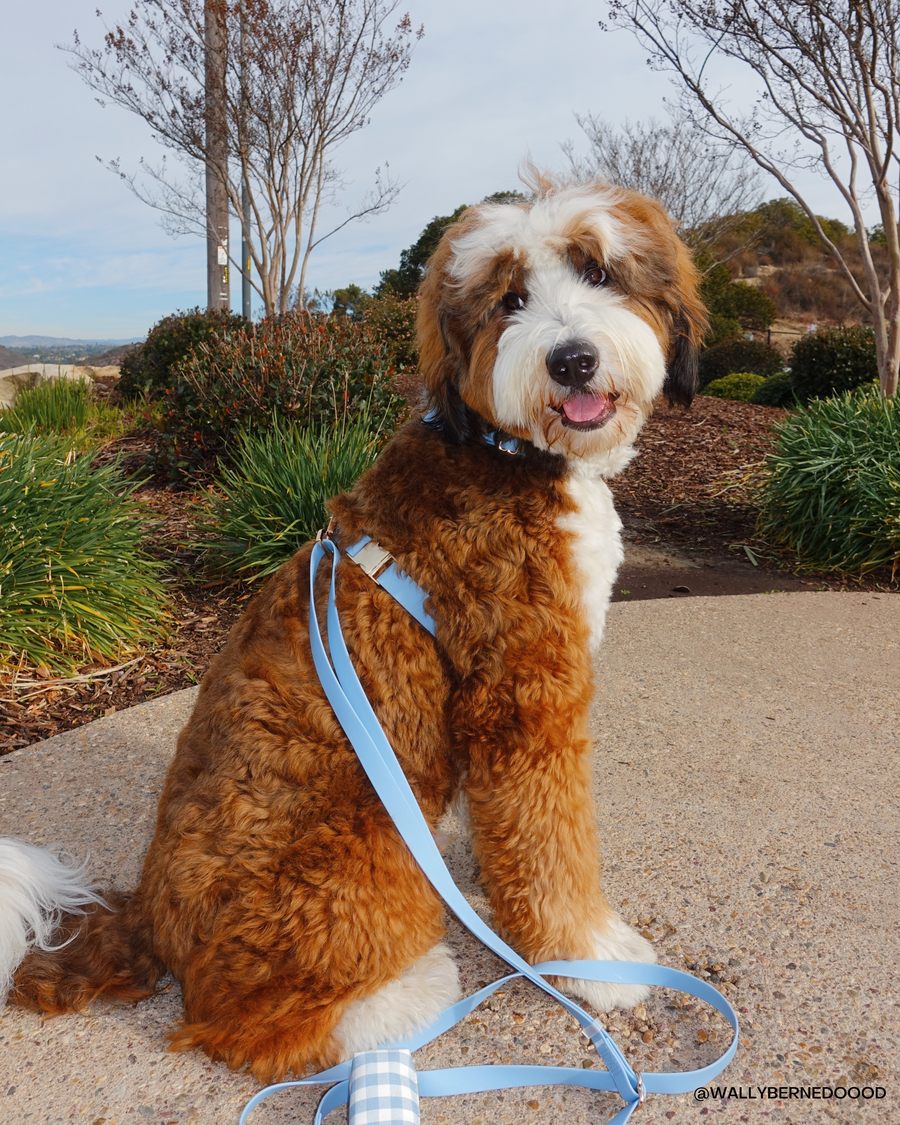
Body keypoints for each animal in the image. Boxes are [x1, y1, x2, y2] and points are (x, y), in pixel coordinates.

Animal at [0, 173, 706, 1080]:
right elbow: (552, 842)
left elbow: (516, 826)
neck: (505, 449)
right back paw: (399, 1002)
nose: (572, 359)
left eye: (599, 271)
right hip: (359, 848)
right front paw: (593, 957)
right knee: (236, 1021)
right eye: (509, 299)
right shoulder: (524, 688)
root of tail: (148, 917)